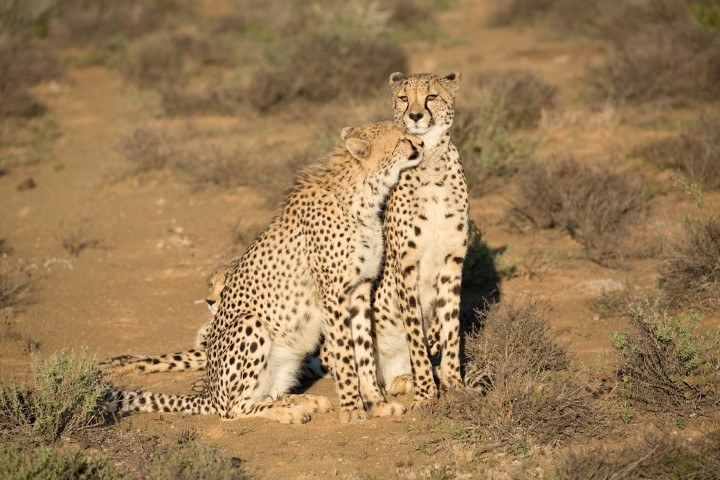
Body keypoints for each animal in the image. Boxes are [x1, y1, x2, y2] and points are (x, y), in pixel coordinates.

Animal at [112, 121, 422, 424]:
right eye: (401, 139)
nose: (420, 143)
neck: (366, 194)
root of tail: (210, 394)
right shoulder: (332, 295)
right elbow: (346, 356)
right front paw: (353, 409)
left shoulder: (360, 288)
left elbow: (364, 351)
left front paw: (377, 403)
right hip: (251, 324)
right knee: (233, 410)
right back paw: (288, 410)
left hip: (289, 358)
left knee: (266, 395)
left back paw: (303, 401)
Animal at [372, 72, 466, 408]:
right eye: (403, 98)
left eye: (431, 97)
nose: (414, 116)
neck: (432, 163)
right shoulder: (406, 268)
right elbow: (414, 332)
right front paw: (427, 393)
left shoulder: (453, 261)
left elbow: (451, 324)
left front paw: (454, 383)